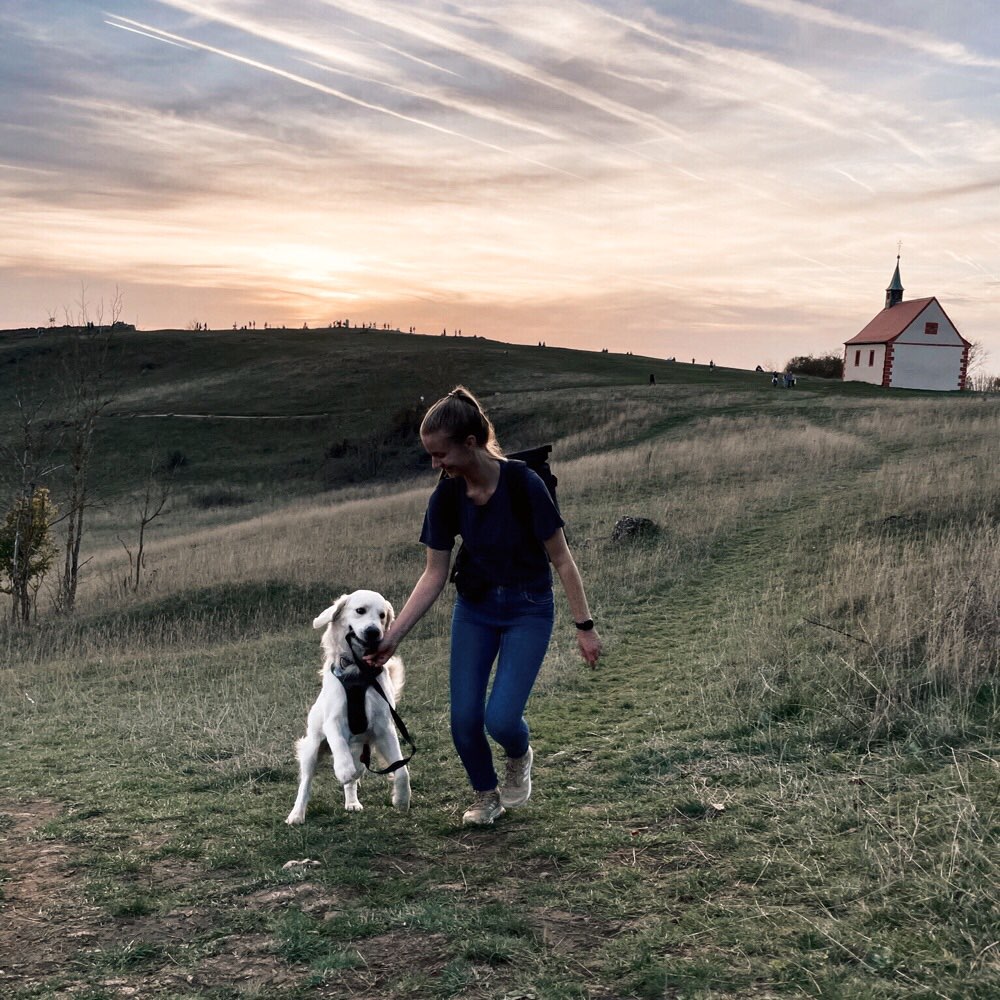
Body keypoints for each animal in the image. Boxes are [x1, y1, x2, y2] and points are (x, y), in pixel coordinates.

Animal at [288, 588, 412, 824]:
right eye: (360, 610)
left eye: (382, 615)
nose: (373, 632)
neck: (359, 672)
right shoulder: (333, 721)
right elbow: (339, 747)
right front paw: (343, 769)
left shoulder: (385, 727)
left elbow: (402, 770)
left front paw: (401, 799)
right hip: (311, 750)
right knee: (305, 785)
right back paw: (297, 814)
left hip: (361, 753)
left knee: (354, 778)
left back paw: (352, 802)